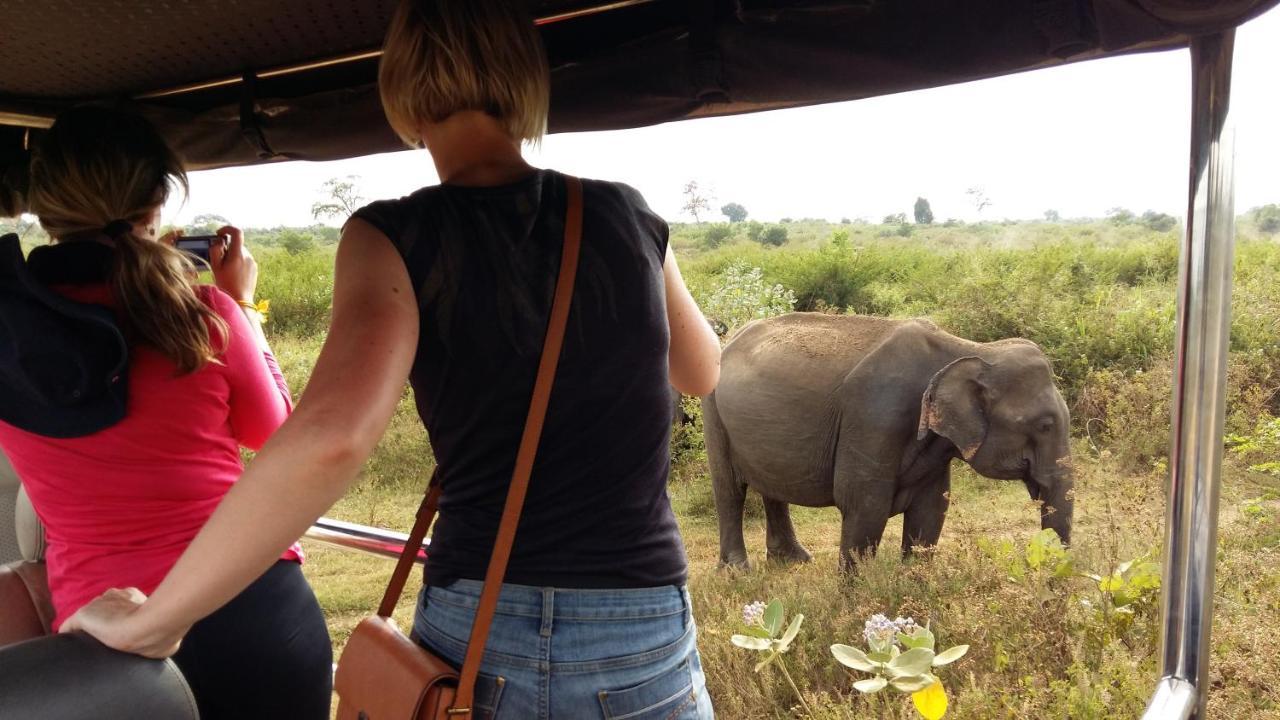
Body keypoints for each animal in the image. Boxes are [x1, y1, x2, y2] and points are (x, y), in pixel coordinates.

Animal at [701, 311, 1070, 568]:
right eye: (1045, 425)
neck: (969, 349)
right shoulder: (875, 417)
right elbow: (864, 504)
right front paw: (856, 603)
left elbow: (931, 509)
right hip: (712, 411)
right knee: (730, 490)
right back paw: (738, 571)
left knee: (772, 488)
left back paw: (793, 561)